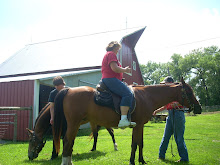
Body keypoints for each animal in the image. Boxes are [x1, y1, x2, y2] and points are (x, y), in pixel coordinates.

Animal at [52, 77, 201, 165]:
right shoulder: (138, 125)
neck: (146, 96)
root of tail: (68, 90)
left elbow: (140, 143)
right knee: (67, 141)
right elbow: (135, 144)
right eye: (189, 91)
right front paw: (132, 162)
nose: (199, 108)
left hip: (76, 124)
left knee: (69, 142)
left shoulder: (140, 126)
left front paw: (141, 160)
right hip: (73, 124)